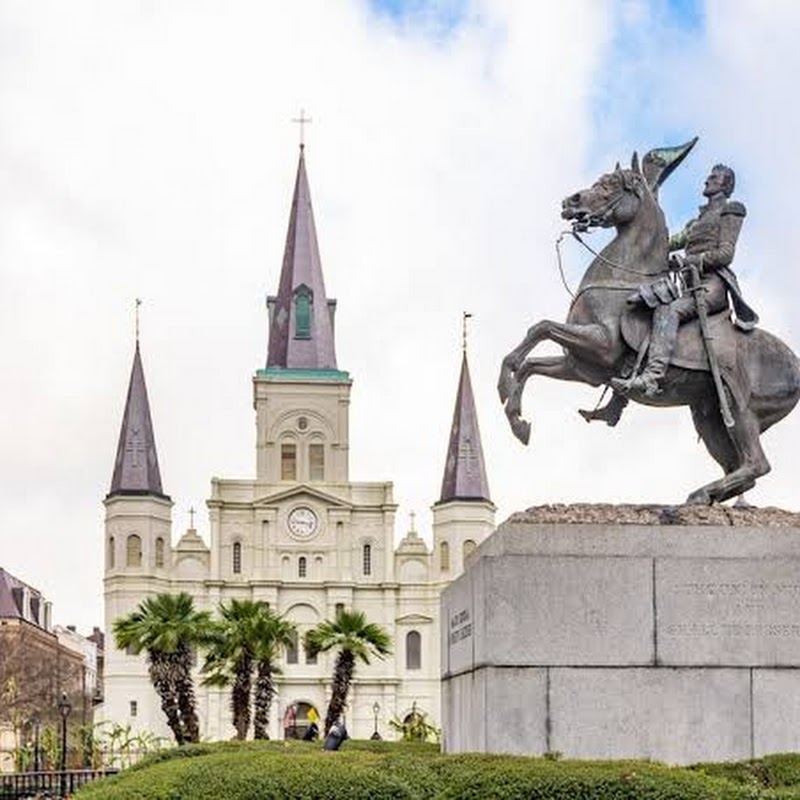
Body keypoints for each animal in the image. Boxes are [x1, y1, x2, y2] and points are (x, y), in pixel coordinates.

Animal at [496, 147, 796, 504]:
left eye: (610, 185)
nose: (571, 200)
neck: (619, 280)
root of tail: (795, 363)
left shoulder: (601, 346)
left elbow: (540, 328)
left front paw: (505, 385)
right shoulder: (582, 368)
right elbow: (532, 362)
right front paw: (516, 417)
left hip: (740, 409)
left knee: (756, 463)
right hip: (708, 415)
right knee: (739, 469)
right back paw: (703, 497)